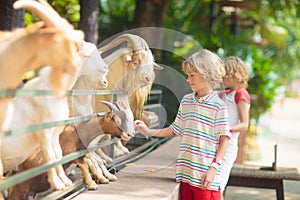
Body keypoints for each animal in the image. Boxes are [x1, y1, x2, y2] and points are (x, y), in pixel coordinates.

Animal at [7, 101, 135, 200]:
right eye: (117, 120)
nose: (130, 134)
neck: (77, 131)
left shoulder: (83, 153)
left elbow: (91, 163)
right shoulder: (71, 154)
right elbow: (84, 165)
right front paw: (93, 184)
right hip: (20, 190)